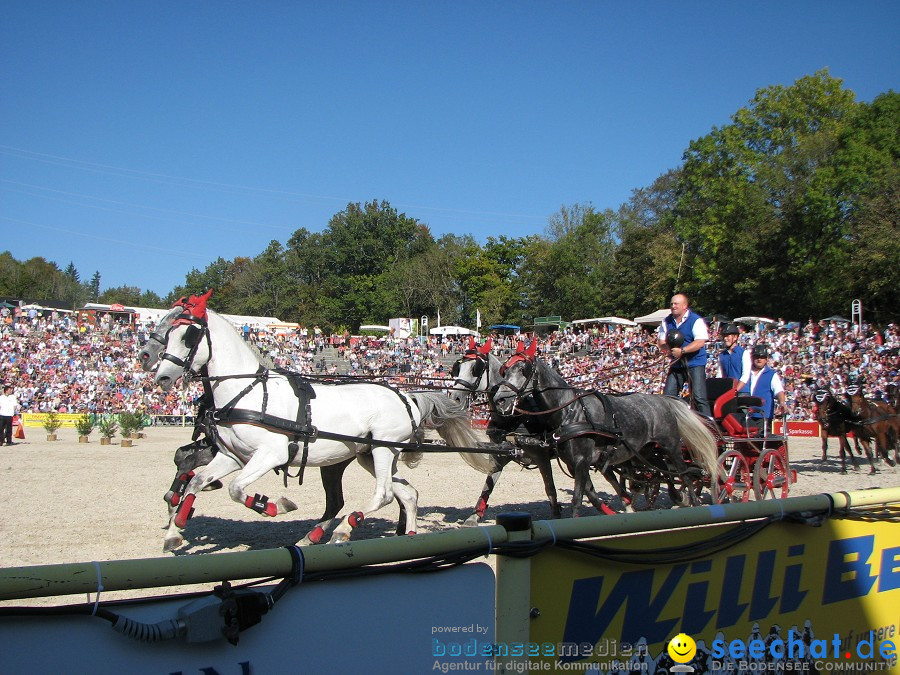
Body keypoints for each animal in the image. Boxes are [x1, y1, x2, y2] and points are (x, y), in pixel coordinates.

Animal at [151, 292, 482, 548]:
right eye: (168, 334)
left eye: (188, 336)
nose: (161, 377)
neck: (249, 392)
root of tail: (407, 396)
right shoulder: (233, 456)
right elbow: (196, 482)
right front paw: (174, 531)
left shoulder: (270, 455)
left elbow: (234, 489)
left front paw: (273, 505)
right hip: (370, 456)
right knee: (407, 493)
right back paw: (407, 536)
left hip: (382, 450)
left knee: (384, 494)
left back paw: (344, 529)